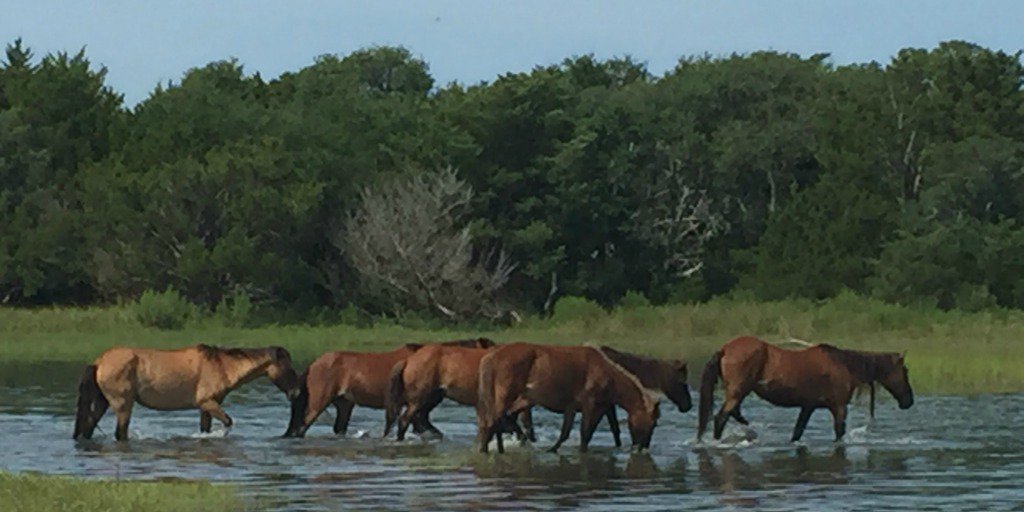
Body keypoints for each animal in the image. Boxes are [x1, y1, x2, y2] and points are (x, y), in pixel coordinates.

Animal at [72, 344, 299, 440]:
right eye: (288, 368)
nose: (296, 393)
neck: (221, 366)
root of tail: (99, 362)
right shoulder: (207, 402)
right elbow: (227, 423)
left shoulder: (206, 407)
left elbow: (206, 428)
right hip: (123, 405)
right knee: (120, 433)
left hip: (103, 402)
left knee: (89, 426)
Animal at [380, 346, 532, 442]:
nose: (532, 435)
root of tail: (408, 360)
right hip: (419, 399)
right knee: (405, 420)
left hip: (433, 398)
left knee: (420, 419)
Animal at [475, 344, 659, 452]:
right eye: (653, 423)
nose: (643, 447)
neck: (608, 376)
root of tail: (491, 356)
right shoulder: (590, 405)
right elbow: (585, 433)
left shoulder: (583, 408)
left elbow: (568, 433)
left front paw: (552, 450)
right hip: (506, 397)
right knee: (493, 423)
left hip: (519, 400)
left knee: (500, 422)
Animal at [696, 337, 913, 442]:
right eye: (905, 371)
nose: (908, 401)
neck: (844, 365)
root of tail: (725, 349)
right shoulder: (839, 407)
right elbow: (839, 433)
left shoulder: (808, 407)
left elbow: (797, 432)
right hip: (737, 392)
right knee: (720, 418)